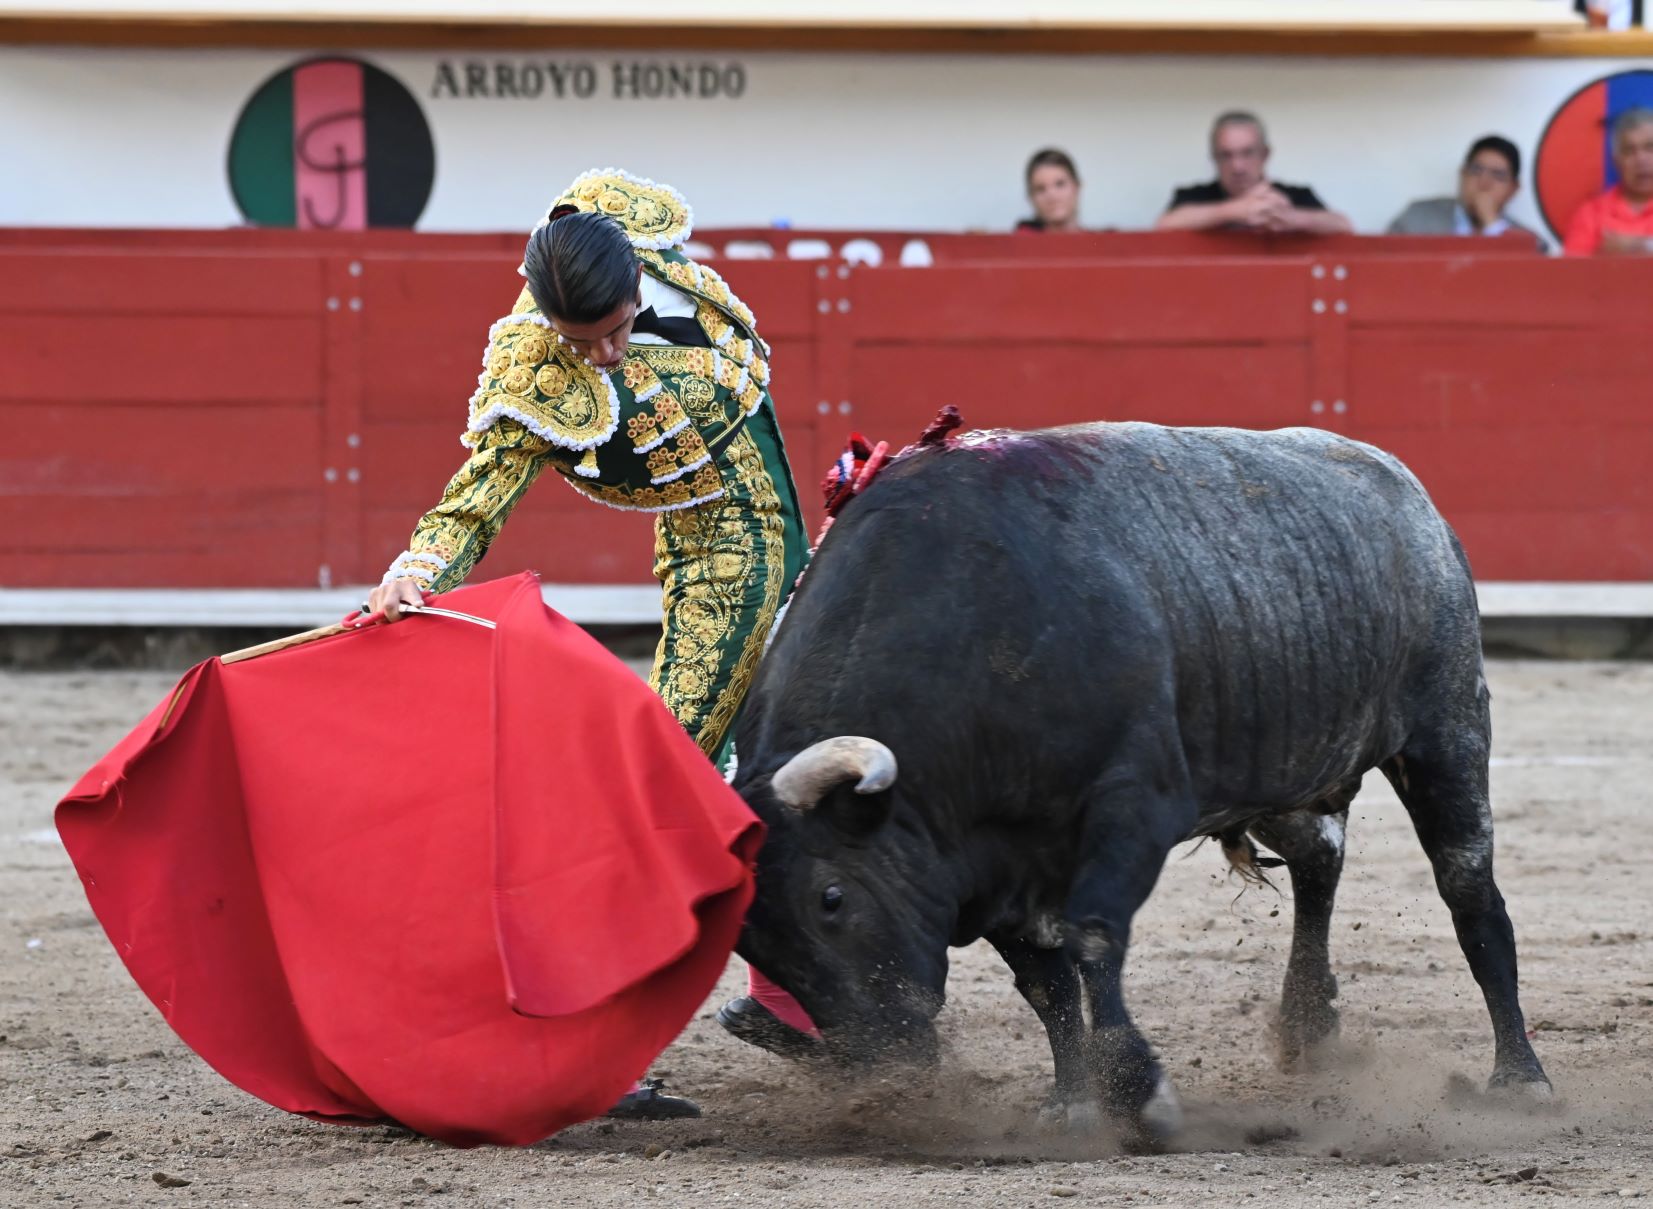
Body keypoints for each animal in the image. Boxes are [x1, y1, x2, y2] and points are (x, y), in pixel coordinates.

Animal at [728, 420, 1552, 1143]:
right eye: (750, 941)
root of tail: (1402, 486)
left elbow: (1093, 939)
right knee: (1319, 859)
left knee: (1469, 894)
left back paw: (1519, 1078)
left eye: (831, 897)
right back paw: (1307, 1028)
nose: (886, 1078)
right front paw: (1070, 1104)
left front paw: (1139, 1092)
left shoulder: (1133, 808)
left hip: (1445, 728)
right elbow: (1045, 983)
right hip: (1283, 761)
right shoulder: (985, 861)